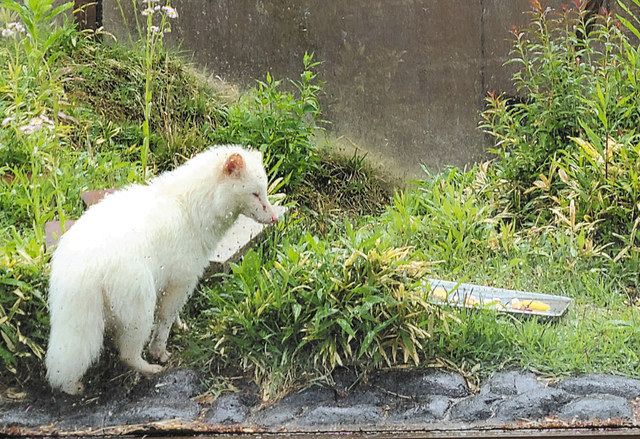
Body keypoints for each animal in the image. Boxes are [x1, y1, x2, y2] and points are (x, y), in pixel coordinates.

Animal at [45, 144, 276, 396]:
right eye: (255, 193)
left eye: (265, 190)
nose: (275, 218)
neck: (192, 207)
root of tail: (80, 270)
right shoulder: (182, 279)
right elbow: (165, 316)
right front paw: (160, 350)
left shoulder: (167, 281)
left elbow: (171, 315)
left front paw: (180, 325)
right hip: (138, 303)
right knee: (126, 351)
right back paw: (148, 368)